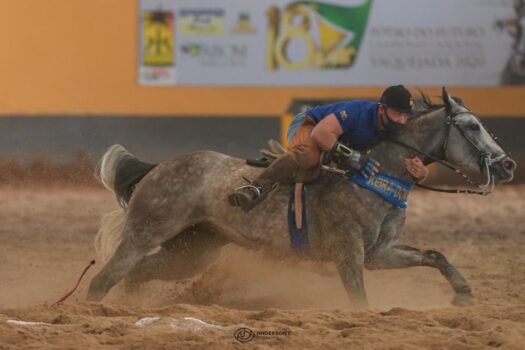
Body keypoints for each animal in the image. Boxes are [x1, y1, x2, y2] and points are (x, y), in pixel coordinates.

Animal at [87, 89, 516, 308]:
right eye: (472, 126)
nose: (509, 164)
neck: (377, 175)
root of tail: (160, 166)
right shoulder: (348, 252)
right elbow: (359, 300)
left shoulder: (378, 253)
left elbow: (434, 255)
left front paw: (464, 294)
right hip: (145, 232)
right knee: (103, 277)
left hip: (192, 250)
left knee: (137, 273)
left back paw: (128, 306)